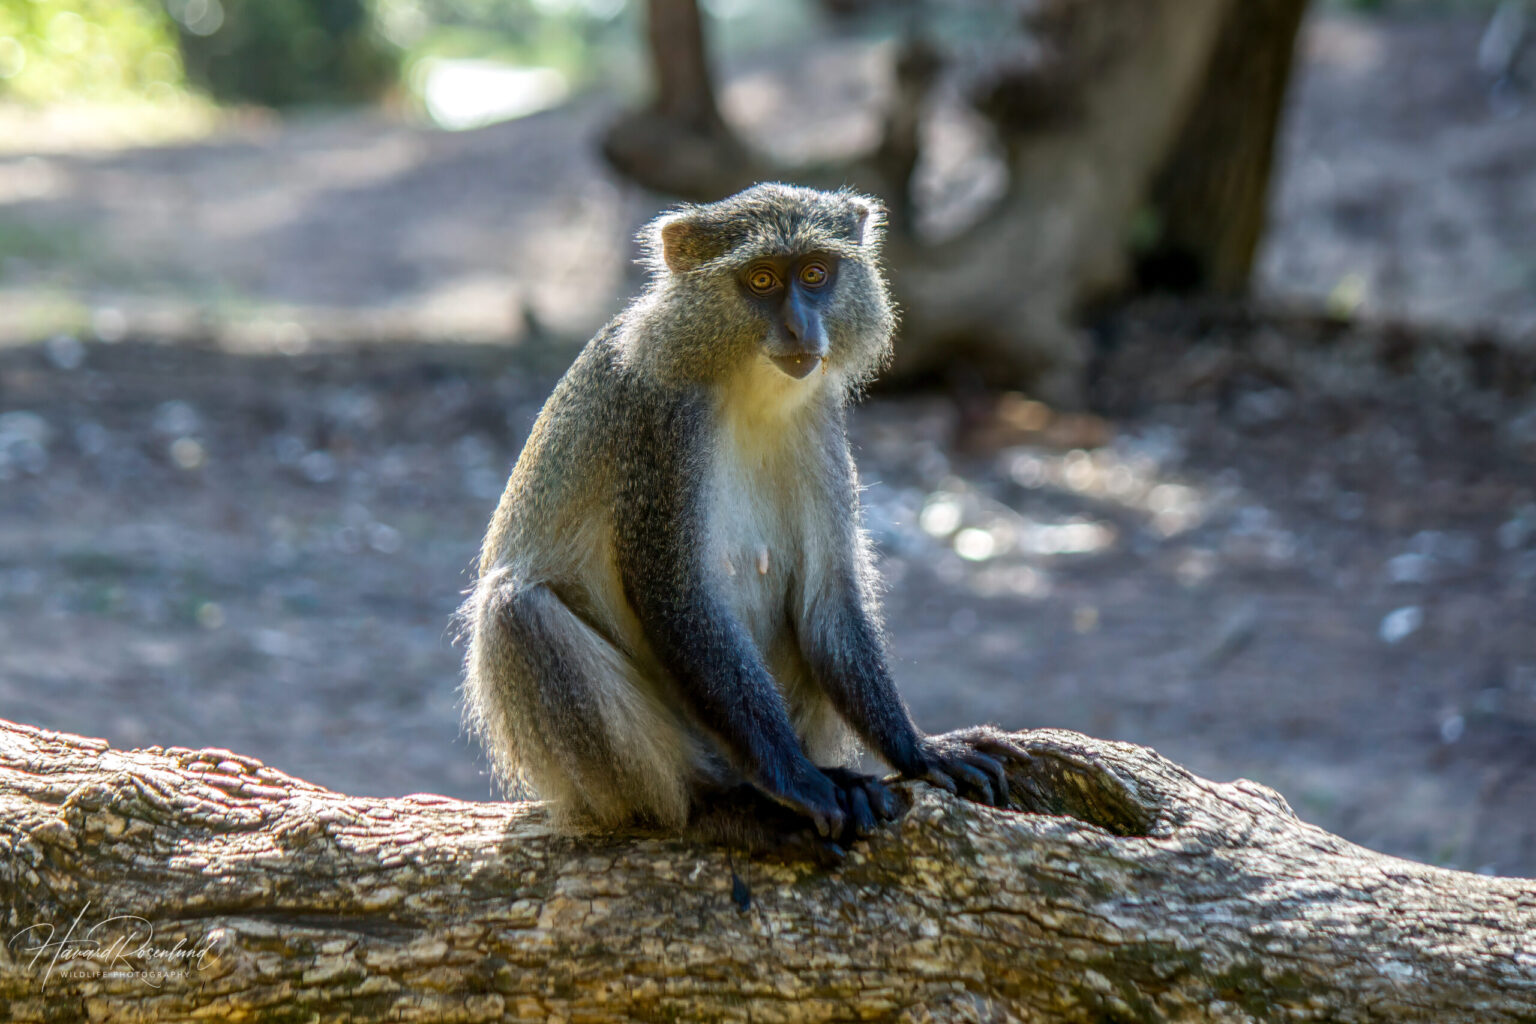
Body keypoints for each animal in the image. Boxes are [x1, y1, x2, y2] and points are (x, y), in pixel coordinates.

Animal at [461, 182, 1027, 858]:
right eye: (761, 280)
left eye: (815, 274)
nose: (800, 326)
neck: (745, 384)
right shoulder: (658, 420)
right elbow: (676, 595)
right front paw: (800, 783)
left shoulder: (820, 419)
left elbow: (827, 601)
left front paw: (920, 751)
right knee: (517, 611)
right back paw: (722, 805)